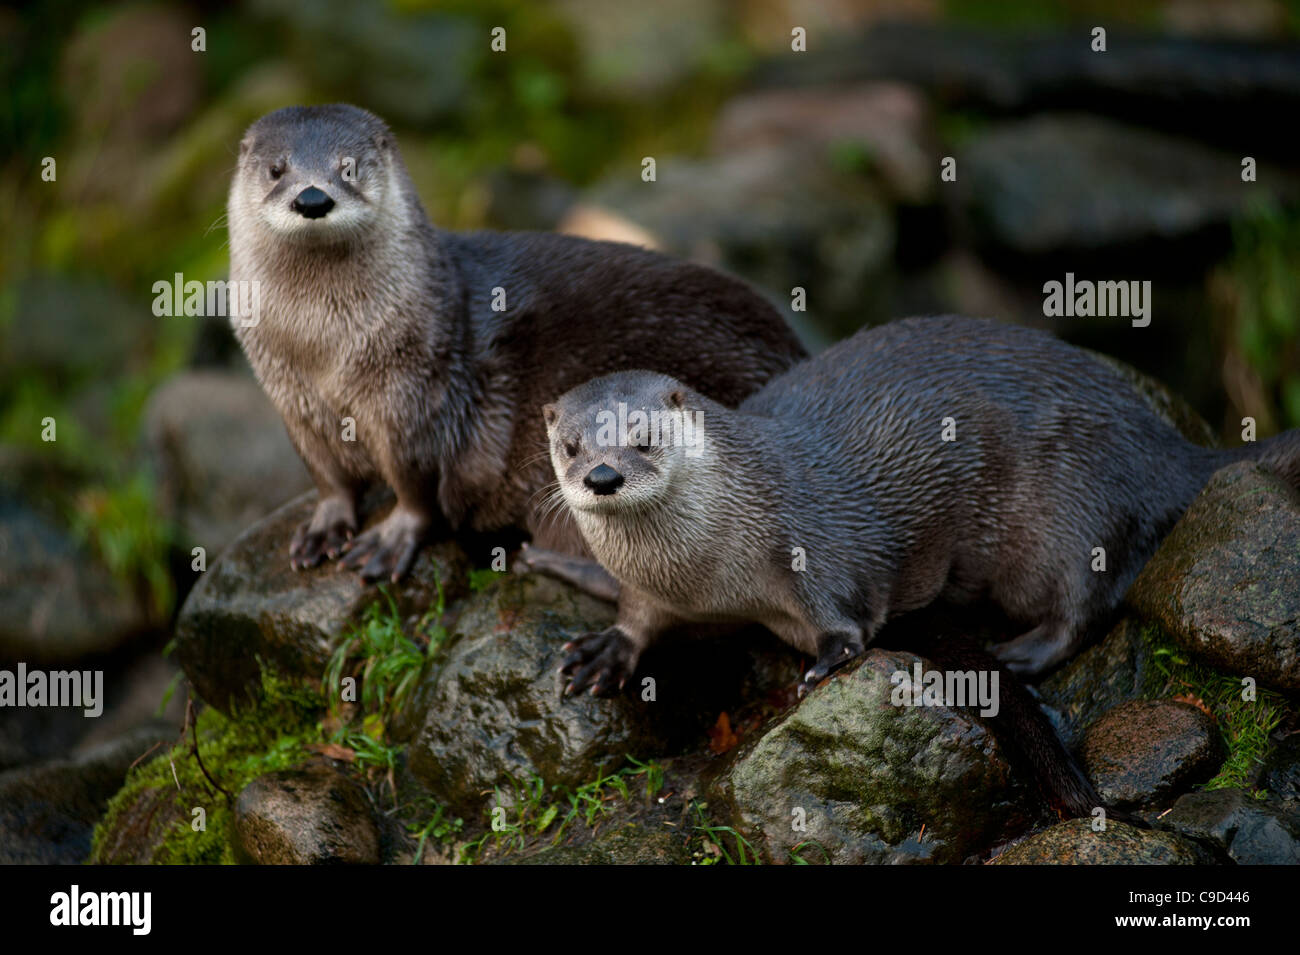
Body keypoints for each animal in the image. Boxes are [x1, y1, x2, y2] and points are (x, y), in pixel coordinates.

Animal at [227, 104, 806, 580]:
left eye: (348, 167)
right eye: (277, 169)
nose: (312, 198)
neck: (322, 352)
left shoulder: (414, 394)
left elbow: (416, 483)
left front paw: (392, 537)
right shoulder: (290, 397)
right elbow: (326, 475)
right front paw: (324, 526)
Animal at [545, 314, 1300, 693]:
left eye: (644, 437)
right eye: (569, 444)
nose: (603, 476)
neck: (705, 572)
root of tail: (1170, 449)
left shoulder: (809, 539)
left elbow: (844, 612)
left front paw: (831, 656)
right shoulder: (656, 587)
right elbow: (639, 615)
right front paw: (606, 651)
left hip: (1079, 500)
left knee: (1089, 601)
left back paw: (1018, 654)